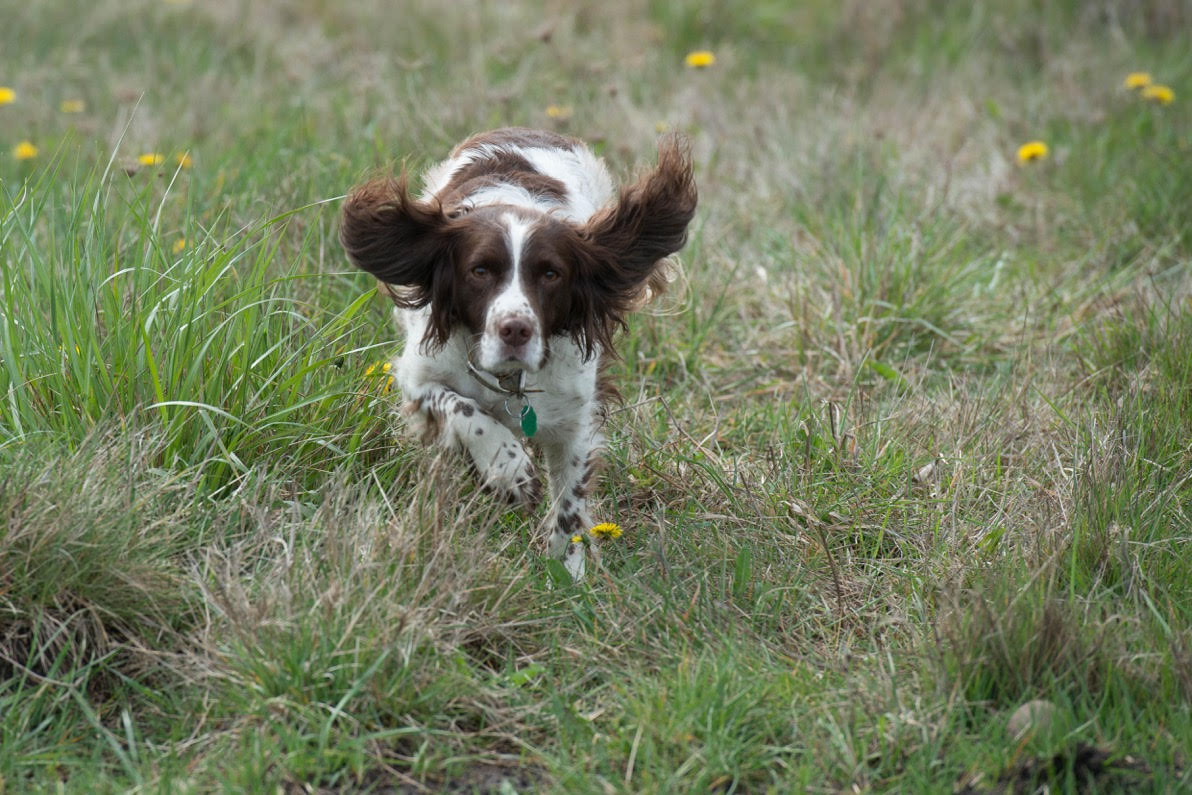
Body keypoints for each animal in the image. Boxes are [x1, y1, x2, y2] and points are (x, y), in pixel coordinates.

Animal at [340, 129, 696, 579]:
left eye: (551, 273)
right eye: (479, 271)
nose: (515, 329)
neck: (509, 379)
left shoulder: (575, 415)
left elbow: (570, 502)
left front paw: (568, 572)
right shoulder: (418, 379)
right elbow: (464, 411)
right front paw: (510, 471)